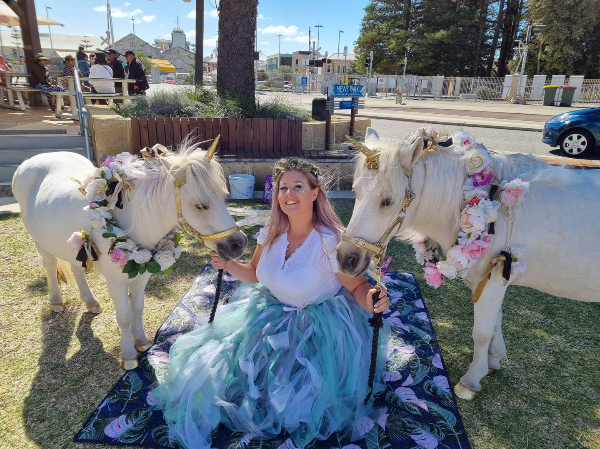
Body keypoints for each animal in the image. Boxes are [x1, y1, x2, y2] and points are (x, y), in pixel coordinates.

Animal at [12, 143, 246, 368]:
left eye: (224, 197)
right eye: (200, 205)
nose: (238, 244)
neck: (134, 218)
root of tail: (30, 162)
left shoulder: (142, 275)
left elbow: (138, 309)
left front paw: (141, 341)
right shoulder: (115, 282)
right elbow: (124, 317)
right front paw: (128, 356)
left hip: (74, 246)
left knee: (76, 269)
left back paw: (90, 302)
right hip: (41, 243)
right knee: (50, 266)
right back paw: (56, 301)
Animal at [338, 129, 600, 400]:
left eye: (388, 201)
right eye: (355, 191)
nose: (346, 259)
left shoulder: (494, 279)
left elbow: (482, 332)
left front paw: (471, 380)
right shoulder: (490, 280)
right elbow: (496, 321)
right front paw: (494, 360)